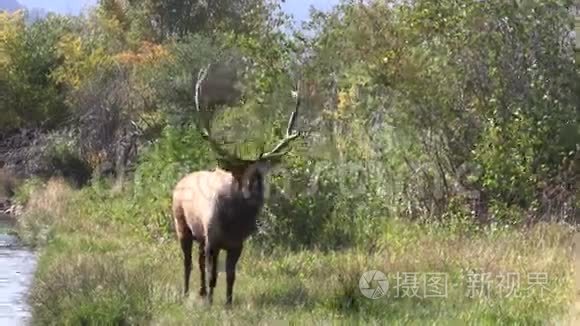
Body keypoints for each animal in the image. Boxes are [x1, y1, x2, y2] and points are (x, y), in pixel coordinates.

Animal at [170, 64, 302, 306]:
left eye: (261, 173)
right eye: (241, 174)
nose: (254, 191)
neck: (234, 221)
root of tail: (180, 183)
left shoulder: (236, 244)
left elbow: (231, 275)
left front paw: (228, 302)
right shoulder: (213, 239)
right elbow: (213, 274)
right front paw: (211, 302)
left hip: (200, 237)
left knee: (199, 261)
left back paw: (200, 291)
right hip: (181, 226)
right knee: (188, 261)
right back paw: (187, 292)